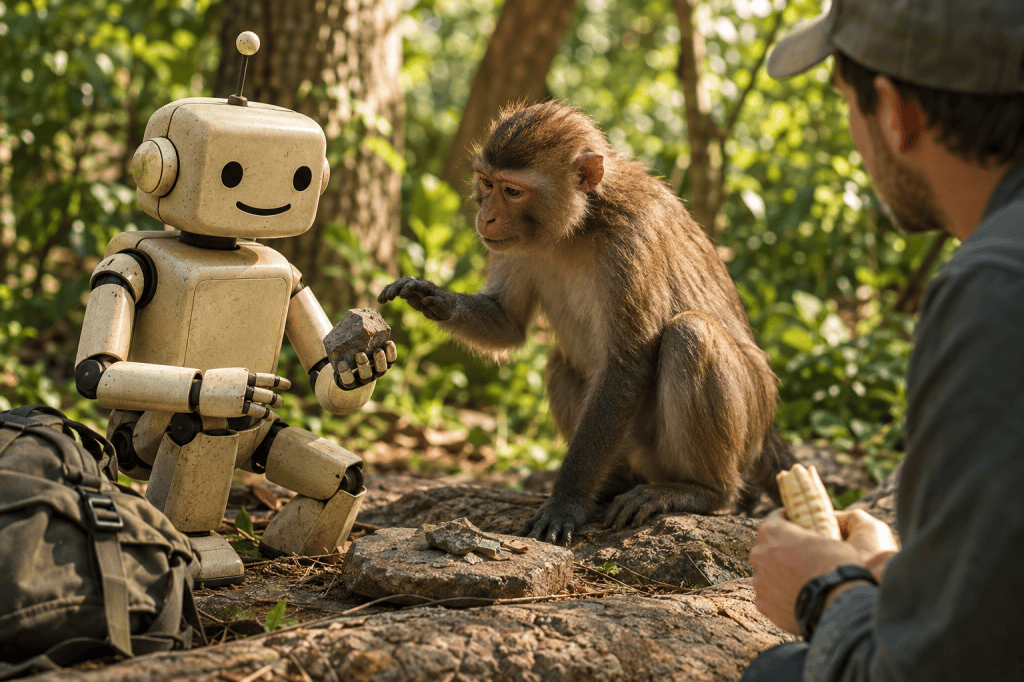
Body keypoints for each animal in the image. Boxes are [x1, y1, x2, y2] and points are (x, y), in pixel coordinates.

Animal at [379, 101, 794, 546]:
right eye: (487, 183)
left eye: (513, 191)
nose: (485, 217)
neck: (578, 226)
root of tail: (766, 431)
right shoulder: (517, 246)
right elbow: (507, 322)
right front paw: (430, 296)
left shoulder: (632, 240)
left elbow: (626, 365)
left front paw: (566, 501)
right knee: (559, 361)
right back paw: (613, 485)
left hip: (741, 425)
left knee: (691, 334)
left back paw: (702, 491)